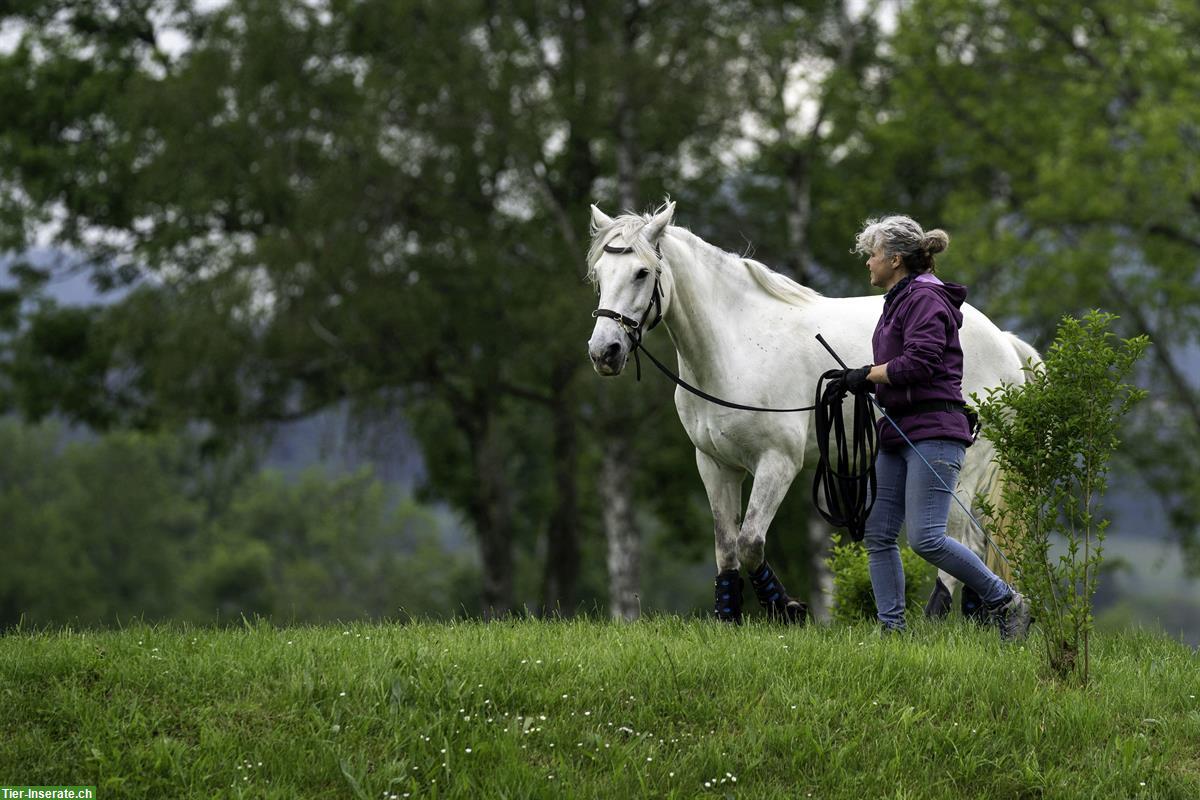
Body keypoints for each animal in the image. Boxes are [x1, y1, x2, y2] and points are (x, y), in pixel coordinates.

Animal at [585, 201, 1036, 623]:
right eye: (599, 275)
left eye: (642, 272)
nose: (604, 352)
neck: (735, 348)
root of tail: (1003, 342)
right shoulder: (715, 464)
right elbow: (726, 546)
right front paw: (728, 616)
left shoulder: (777, 463)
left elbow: (750, 542)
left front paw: (785, 606)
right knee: (975, 541)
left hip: (964, 470)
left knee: (959, 540)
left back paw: (941, 619)